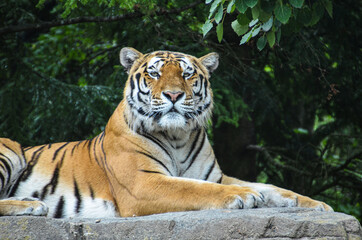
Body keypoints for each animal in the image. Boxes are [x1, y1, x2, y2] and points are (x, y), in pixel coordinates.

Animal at [0, 47, 334, 218]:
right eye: (154, 73)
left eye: (187, 74)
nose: (174, 94)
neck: (177, 138)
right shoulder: (143, 184)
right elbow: (193, 189)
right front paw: (243, 196)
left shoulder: (216, 175)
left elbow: (271, 187)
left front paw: (315, 204)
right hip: (11, 149)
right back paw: (31, 205)